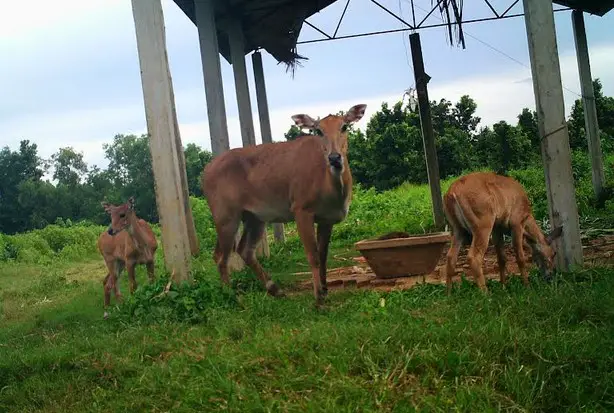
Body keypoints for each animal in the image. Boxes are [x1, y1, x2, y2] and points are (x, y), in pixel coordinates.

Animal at [202, 103, 368, 306]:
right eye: (318, 130)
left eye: (344, 126)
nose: (334, 157)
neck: (331, 190)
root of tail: (204, 173)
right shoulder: (301, 208)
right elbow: (313, 256)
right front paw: (318, 298)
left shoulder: (326, 218)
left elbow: (323, 255)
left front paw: (325, 290)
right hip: (225, 213)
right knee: (220, 256)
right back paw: (233, 297)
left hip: (255, 216)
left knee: (244, 249)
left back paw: (275, 289)